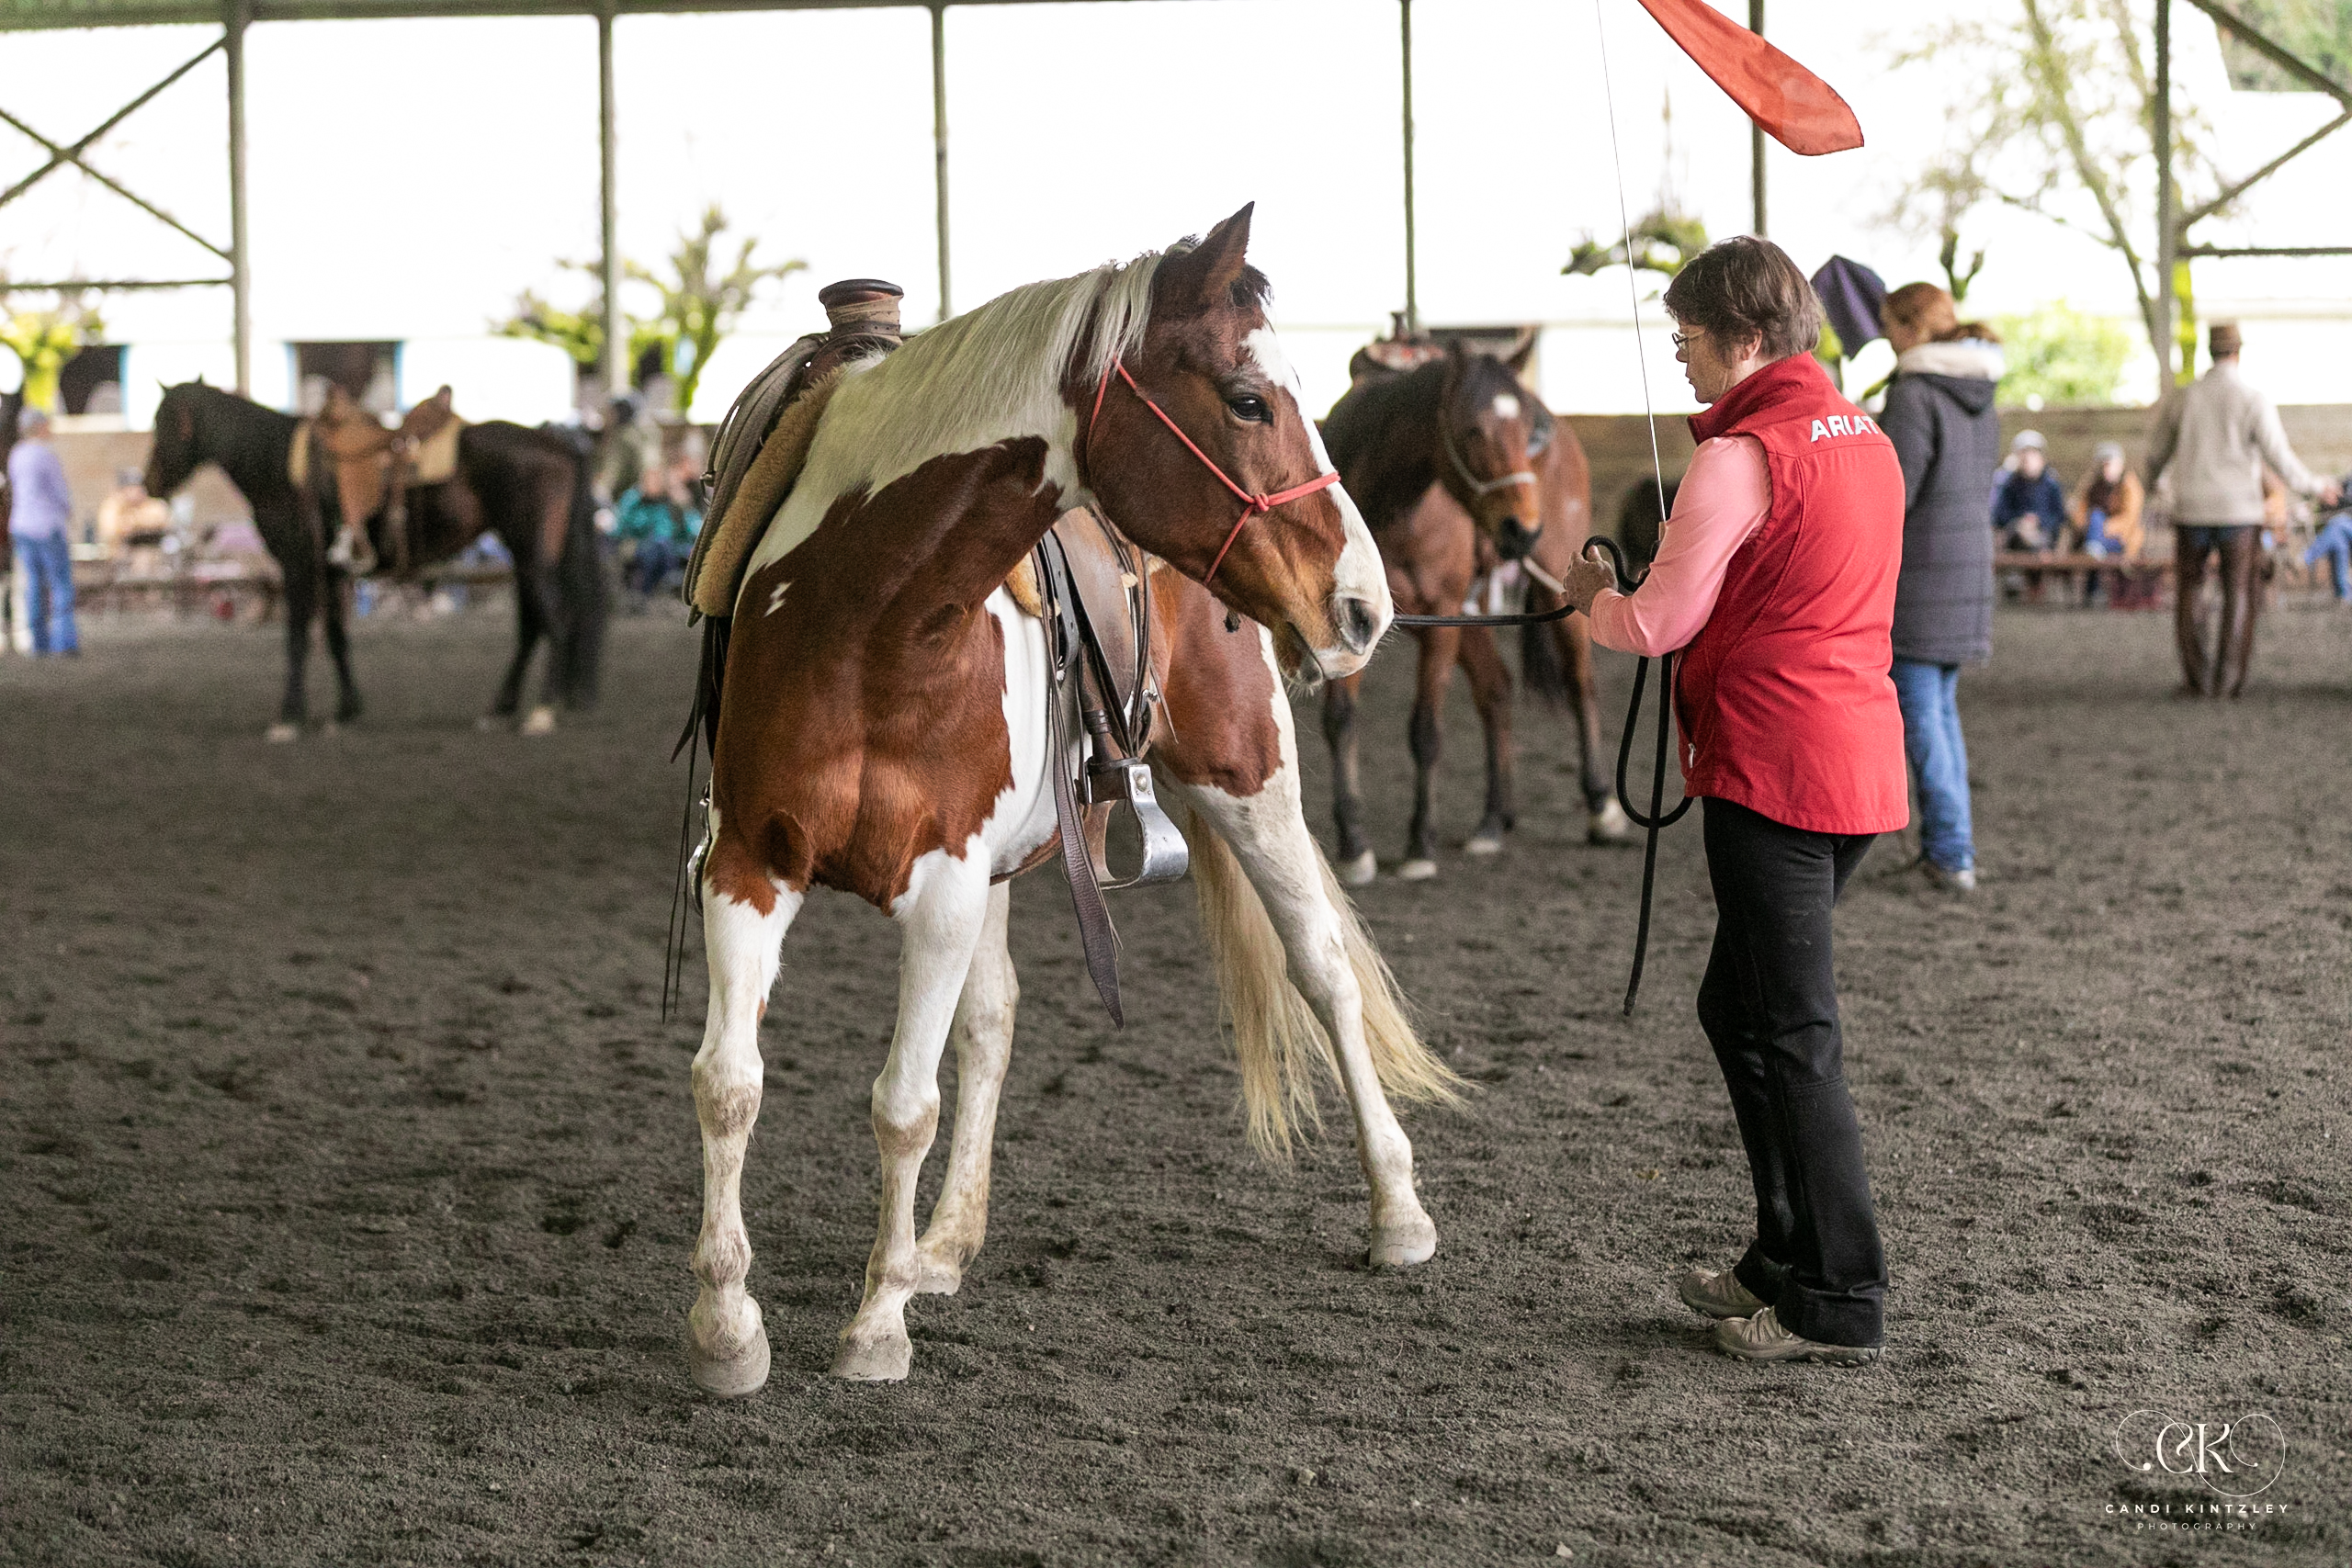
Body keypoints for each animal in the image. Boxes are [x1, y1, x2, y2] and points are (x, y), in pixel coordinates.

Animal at [146, 381, 606, 738]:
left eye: (162, 423)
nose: (150, 483)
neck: (277, 463)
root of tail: (560, 445)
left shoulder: (298, 565)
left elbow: (297, 637)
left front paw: (288, 718)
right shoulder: (331, 571)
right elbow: (335, 636)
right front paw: (345, 712)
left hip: (532, 555)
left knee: (555, 622)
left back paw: (541, 712)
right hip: (528, 555)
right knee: (532, 625)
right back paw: (500, 709)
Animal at [686, 205, 1461, 1395]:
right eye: (1249, 399)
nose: (1364, 605)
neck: (862, 621)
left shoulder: (943, 891)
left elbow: (902, 1106)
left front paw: (875, 1326)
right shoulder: (749, 866)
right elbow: (731, 1083)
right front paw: (729, 1327)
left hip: (1250, 782)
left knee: (1323, 971)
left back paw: (1398, 1214)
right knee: (993, 1024)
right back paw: (945, 1244)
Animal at [1317, 338, 1626, 883]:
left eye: (1526, 432)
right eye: (1471, 430)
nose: (1521, 529)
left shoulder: (1442, 614)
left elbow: (1425, 730)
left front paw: (1420, 843)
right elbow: (1340, 720)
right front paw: (1354, 846)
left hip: (1556, 583)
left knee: (1579, 681)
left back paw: (1601, 807)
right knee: (1496, 690)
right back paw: (1493, 820)